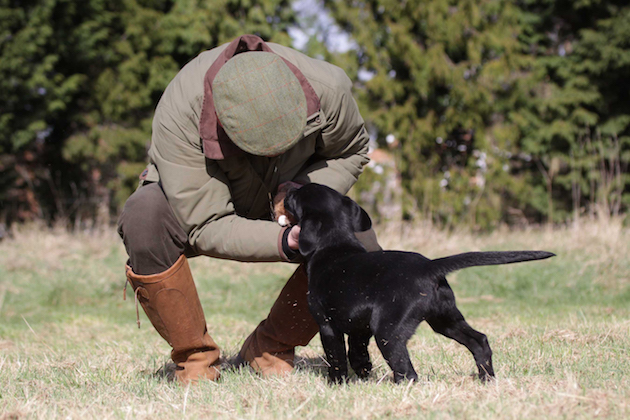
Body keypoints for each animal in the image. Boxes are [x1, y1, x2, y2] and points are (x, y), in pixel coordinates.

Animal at [284, 184, 556, 384]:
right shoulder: (359, 325)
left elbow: (336, 358)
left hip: (389, 331)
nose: (286, 190)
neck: (333, 243)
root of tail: (430, 266)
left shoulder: (327, 325)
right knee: (480, 341)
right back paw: (487, 380)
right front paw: (362, 372)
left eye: (296, 197)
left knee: (408, 372)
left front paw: (336, 384)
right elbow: (357, 350)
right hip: (445, 319)